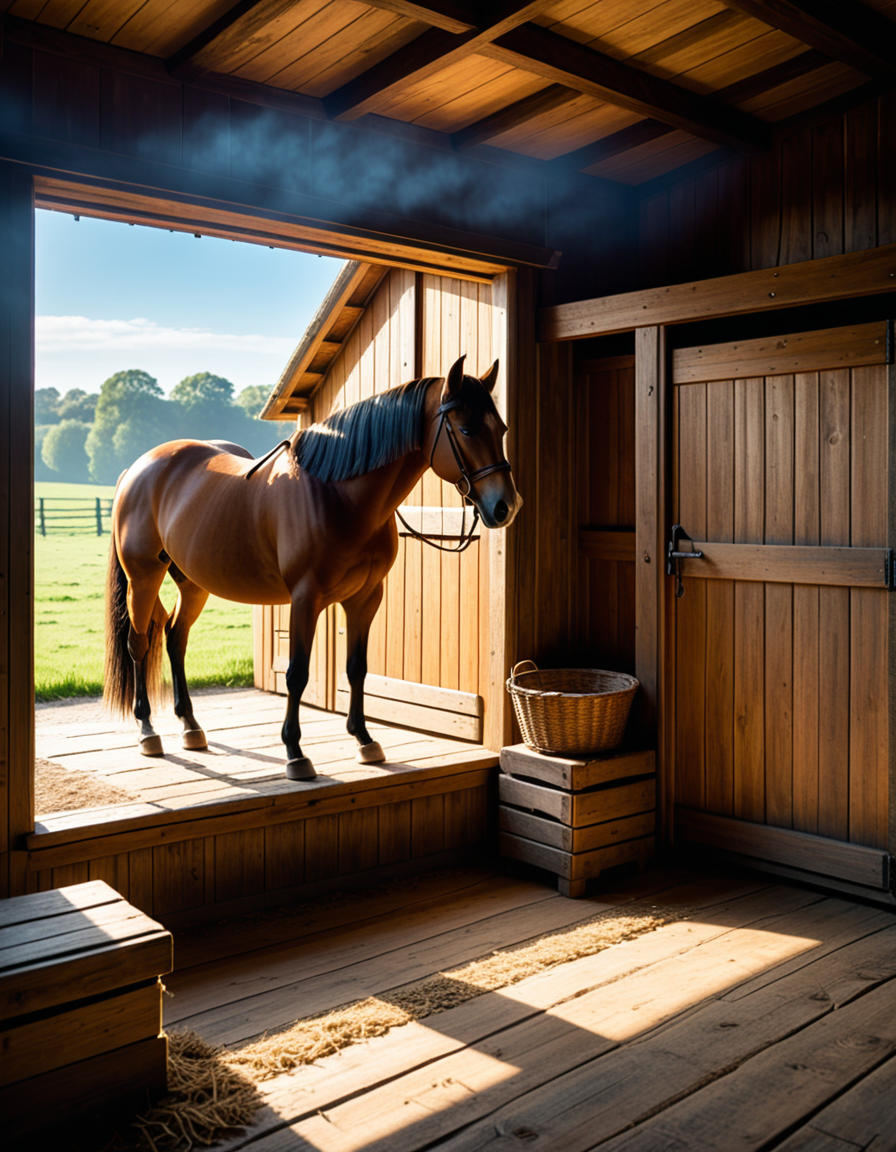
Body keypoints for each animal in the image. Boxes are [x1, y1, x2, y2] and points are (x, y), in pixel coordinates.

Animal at [103, 355, 522, 780]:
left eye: (501, 428)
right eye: (466, 429)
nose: (505, 506)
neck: (336, 492)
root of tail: (136, 469)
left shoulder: (365, 598)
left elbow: (356, 669)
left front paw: (364, 740)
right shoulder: (305, 599)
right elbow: (297, 673)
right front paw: (295, 752)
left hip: (192, 583)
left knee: (175, 638)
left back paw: (190, 726)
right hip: (143, 578)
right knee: (139, 642)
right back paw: (148, 731)